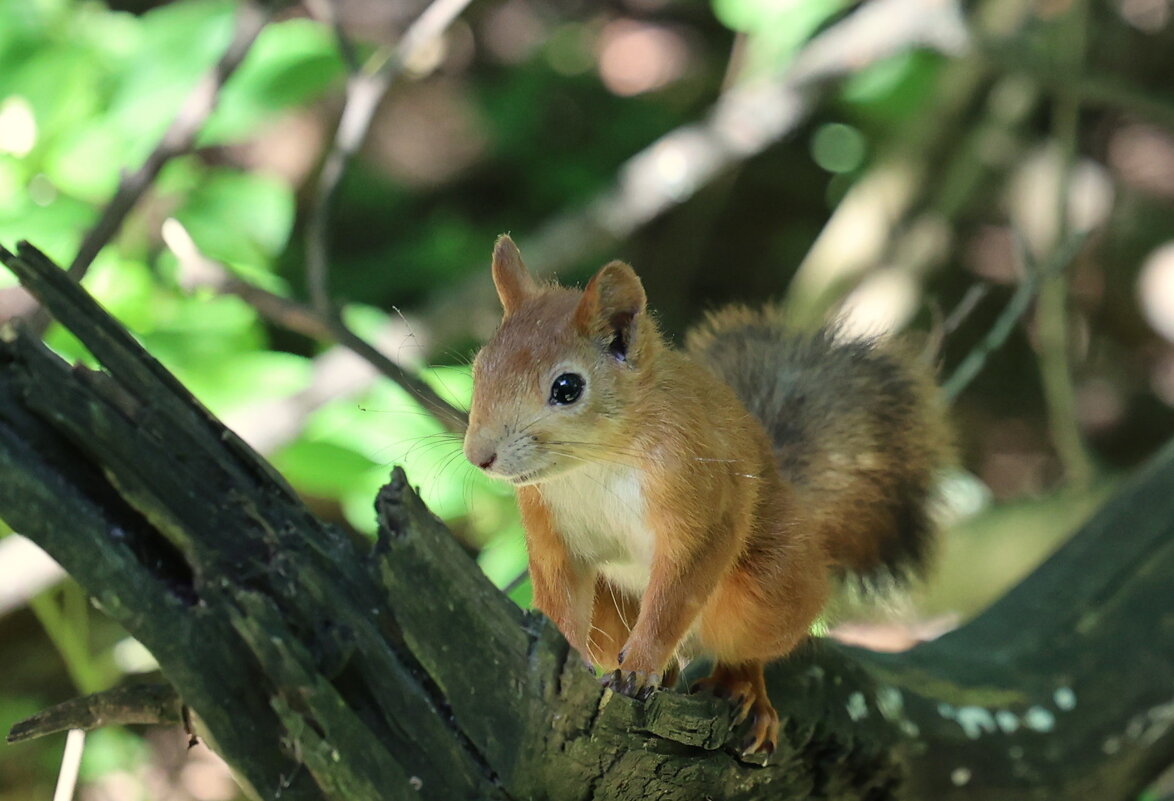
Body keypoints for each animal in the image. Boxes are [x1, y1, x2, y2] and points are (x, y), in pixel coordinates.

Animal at [462, 232, 948, 756]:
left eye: (568, 387)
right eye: (479, 368)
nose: (478, 456)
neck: (595, 464)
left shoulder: (701, 500)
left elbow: (676, 595)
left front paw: (640, 667)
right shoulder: (551, 530)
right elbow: (560, 598)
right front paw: (567, 657)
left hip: (767, 591)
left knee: (745, 647)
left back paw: (744, 690)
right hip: (614, 612)